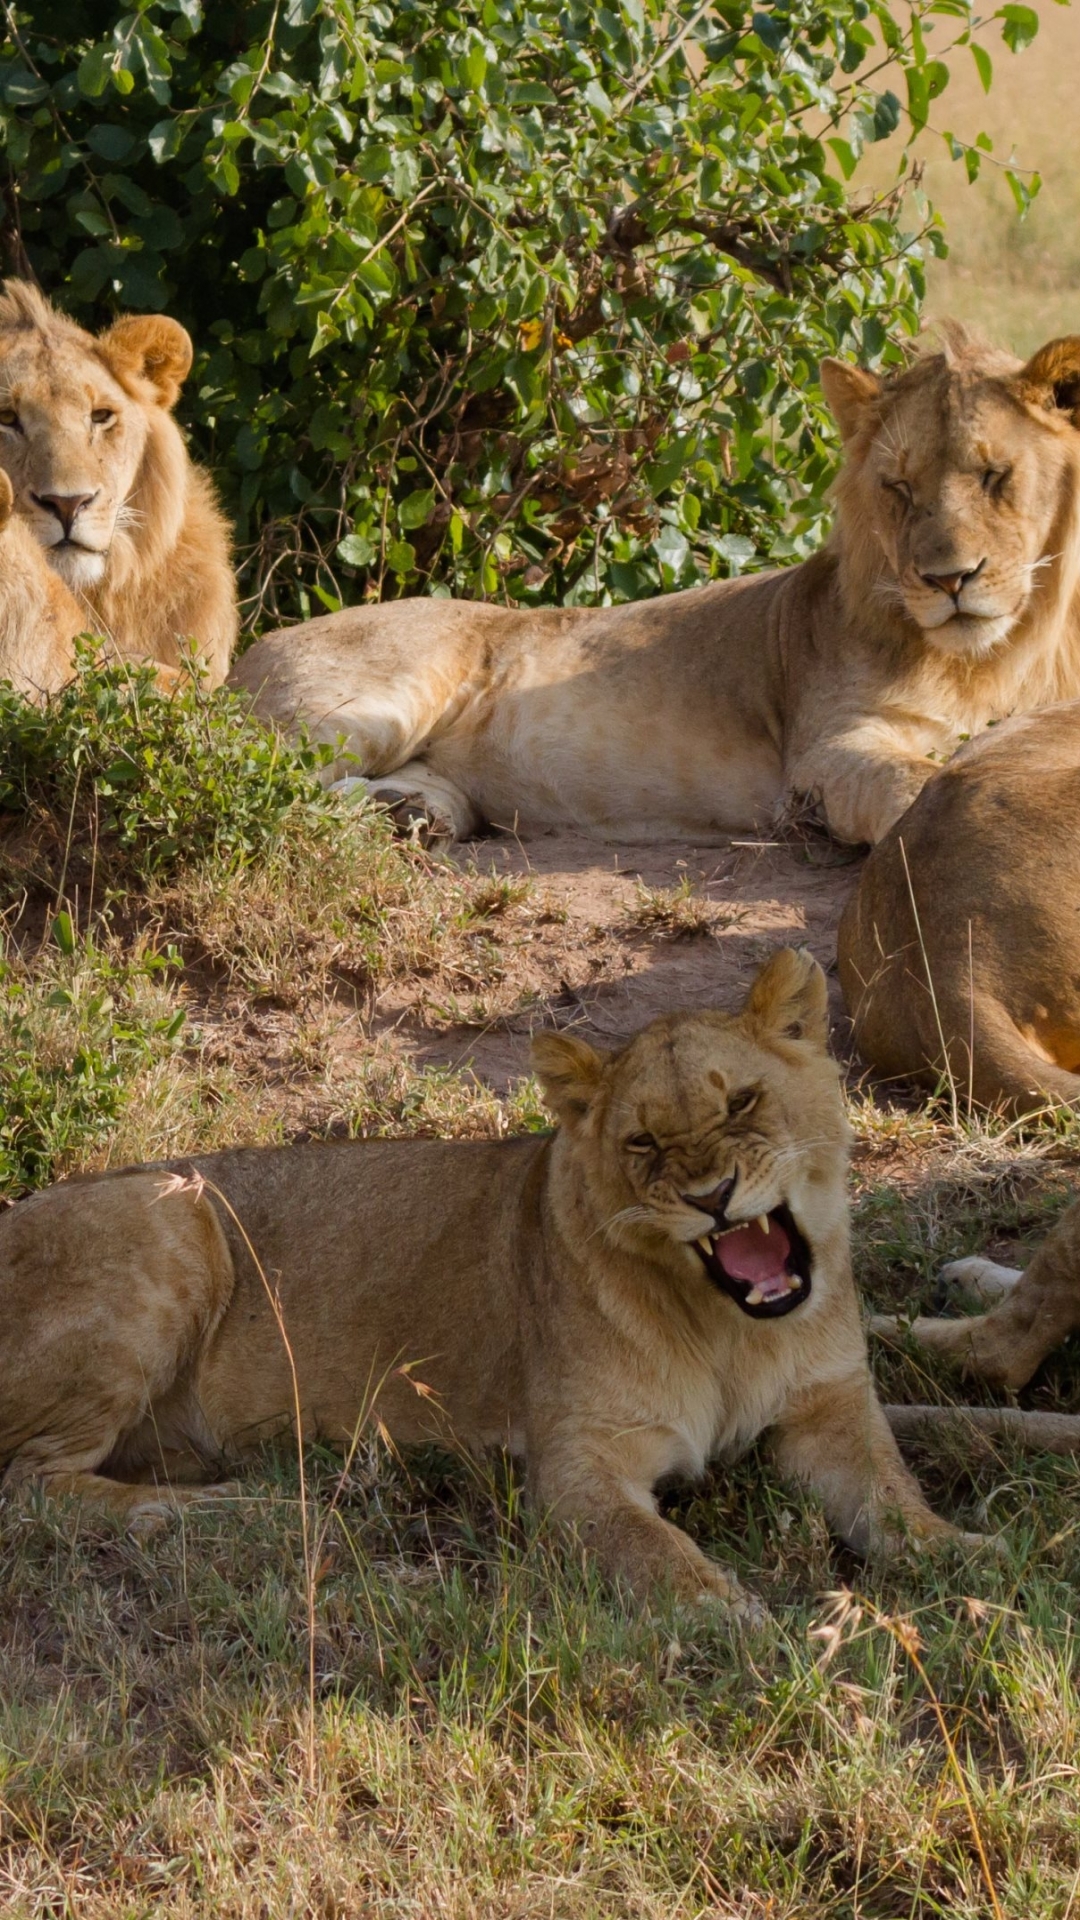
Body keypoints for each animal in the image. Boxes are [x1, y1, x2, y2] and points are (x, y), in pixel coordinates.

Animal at [0, 948, 968, 1620]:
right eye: (642, 1143)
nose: (711, 1198)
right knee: (29, 1487)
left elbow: (895, 1499)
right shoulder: (577, 1464)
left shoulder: (829, 1410)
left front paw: (970, 1563)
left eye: (742, 1103)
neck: (734, 1330)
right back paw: (228, 1509)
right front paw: (735, 1619)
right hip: (172, 1212)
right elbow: (655, 1551)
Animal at [231, 328, 1076, 848]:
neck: (998, 657)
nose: (948, 578)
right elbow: (917, 782)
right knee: (247, 779)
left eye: (994, 476)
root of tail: (247, 651)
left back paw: (406, 815)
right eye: (899, 488)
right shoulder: (826, 751)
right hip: (372, 704)